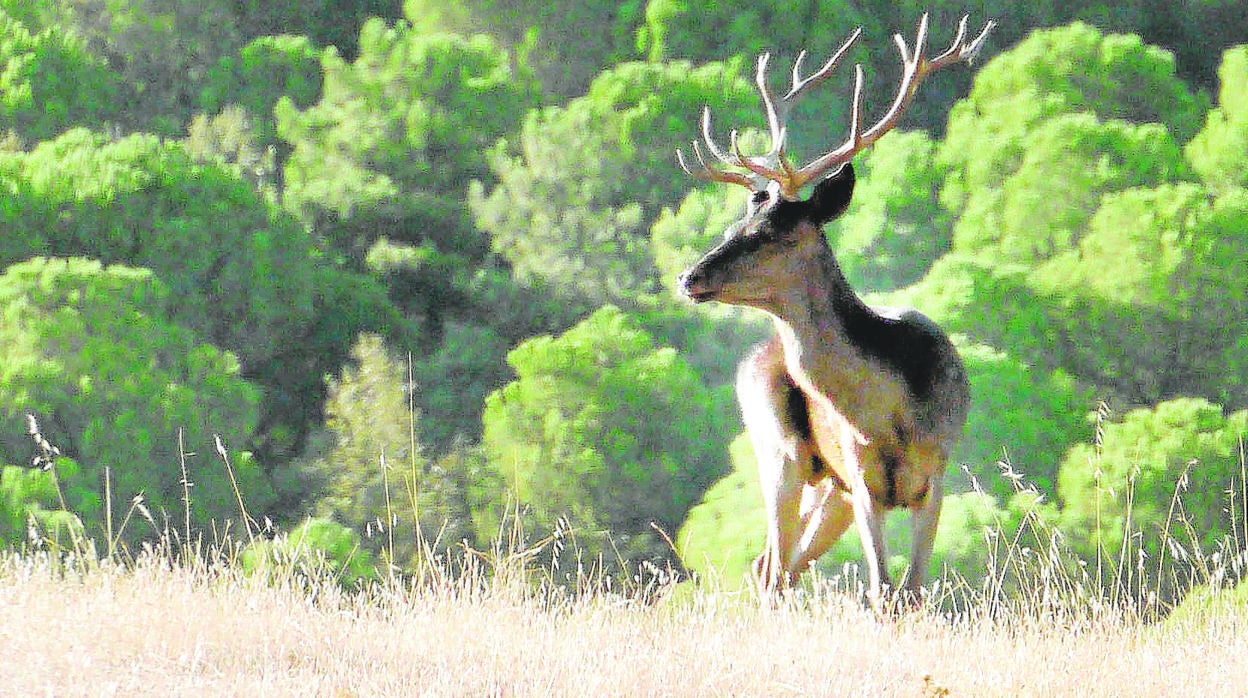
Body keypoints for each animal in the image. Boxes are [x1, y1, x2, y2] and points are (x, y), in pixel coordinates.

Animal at [678, 13, 988, 609]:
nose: (689, 278)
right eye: (735, 225)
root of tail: (756, 354)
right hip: (780, 451)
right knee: (772, 567)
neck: (893, 415)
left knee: (778, 566)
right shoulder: (862, 479)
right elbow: (881, 591)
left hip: (829, 488)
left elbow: (913, 591)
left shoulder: (934, 475)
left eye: (767, 233)